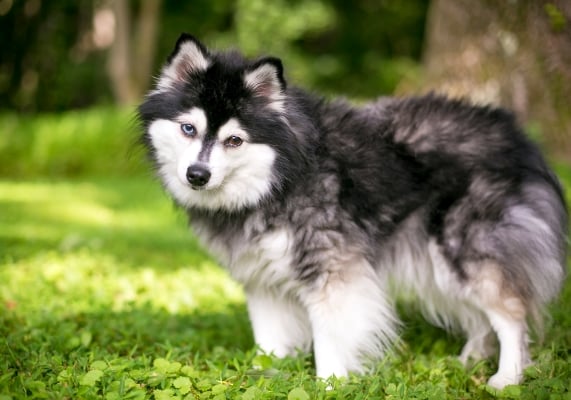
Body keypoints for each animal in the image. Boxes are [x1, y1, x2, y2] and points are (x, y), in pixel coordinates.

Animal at [137, 34, 568, 390]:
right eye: (188, 129)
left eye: (234, 140)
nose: (197, 175)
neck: (280, 178)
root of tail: (519, 138)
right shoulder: (261, 278)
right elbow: (269, 340)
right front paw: (261, 377)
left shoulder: (333, 270)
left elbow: (330, 335)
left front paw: (329, 384)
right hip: (438, 263)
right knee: (480, 318)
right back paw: (468, 361)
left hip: (466, 250)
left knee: (510, 313)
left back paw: (507, 377)